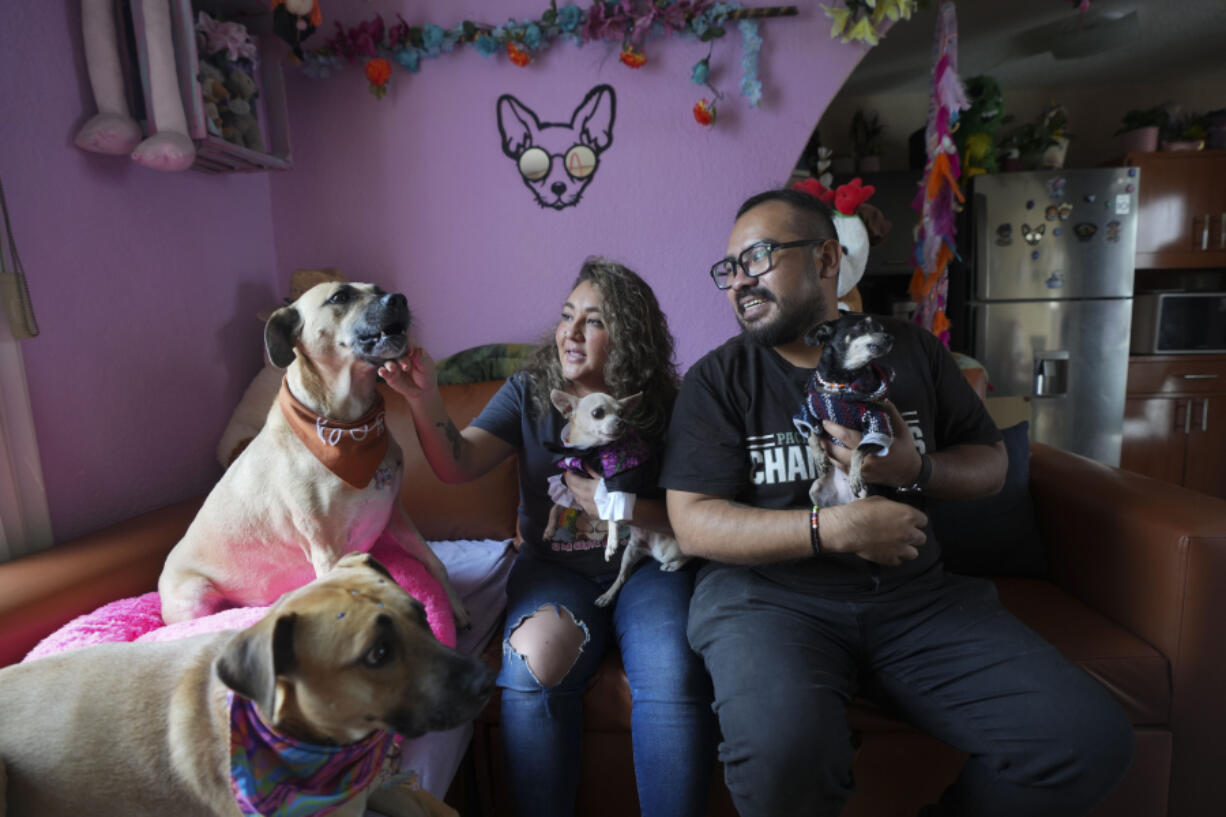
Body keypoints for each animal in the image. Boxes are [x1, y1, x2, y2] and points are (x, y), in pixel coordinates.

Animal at [156, 283, 468, 625]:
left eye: (378, 289)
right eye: (340, 296)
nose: (400, 299)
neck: (349, 428)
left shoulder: (395, 514)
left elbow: (434, 561)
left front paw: (455, 606)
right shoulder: (328, 550)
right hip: (194, 597)